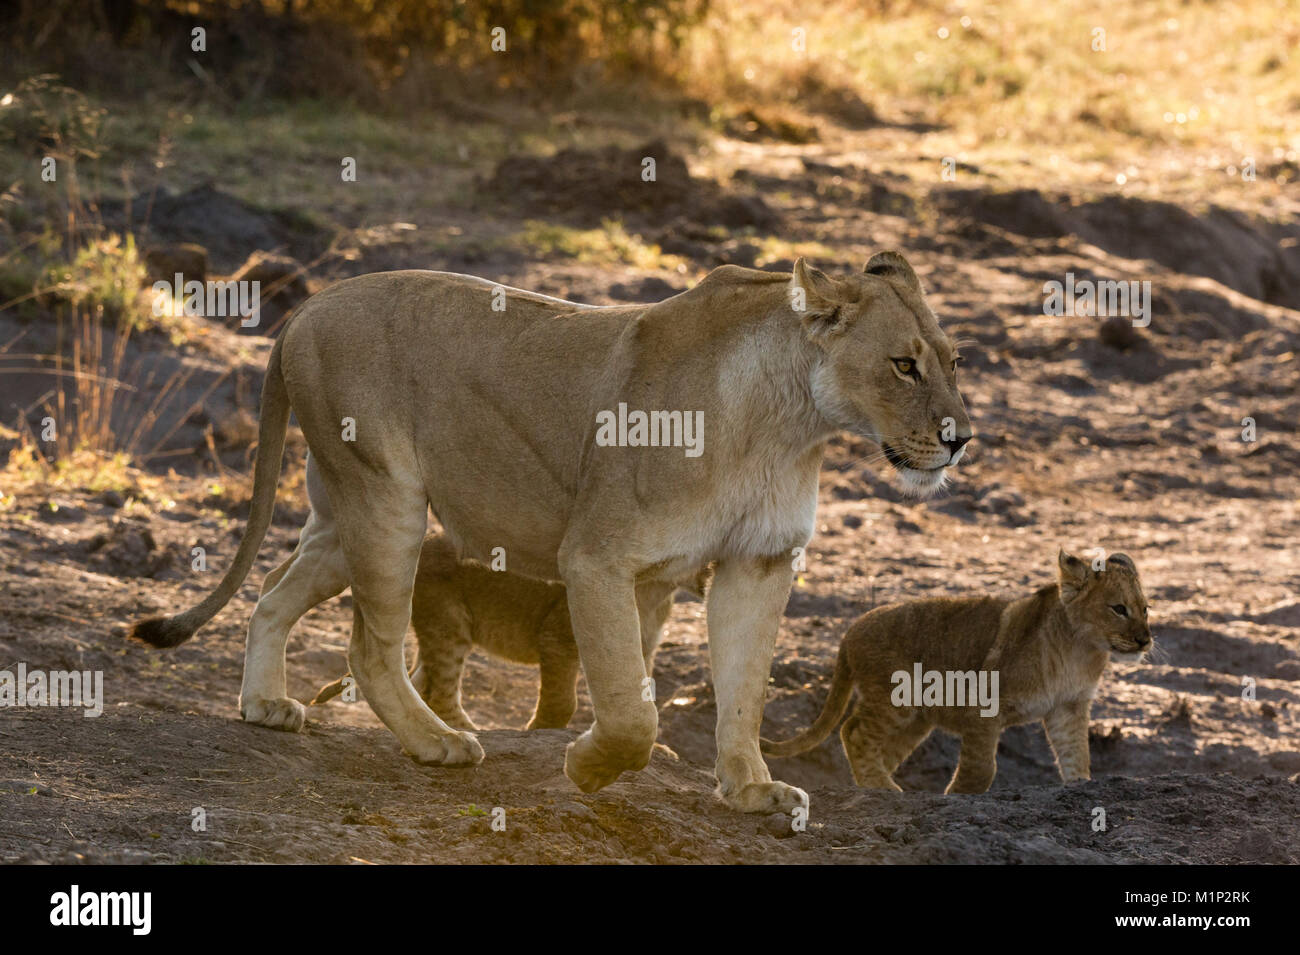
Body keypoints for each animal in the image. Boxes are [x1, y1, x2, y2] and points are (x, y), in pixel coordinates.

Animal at [310, 533, 711, 730]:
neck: (657, 590)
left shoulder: (644, 649)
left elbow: (641, 699)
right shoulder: (557, 638)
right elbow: (562, 700)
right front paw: (539, 729)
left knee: (423, 682)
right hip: (450, 626)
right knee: (441, 692)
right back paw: (470, 734)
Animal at [762, 550, 1152, 794]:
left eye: (1145, 609)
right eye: (1118, 609)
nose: (1145, 640)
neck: (1080, 650)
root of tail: (850, 630)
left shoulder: (1068, 708)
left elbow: (1076, 755)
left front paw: (1079, 787)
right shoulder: (986, 702)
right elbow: (982, 766)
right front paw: (958, 794)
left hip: (916, 719)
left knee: (876, 747)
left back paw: (877, 786)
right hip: (895, 699)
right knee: (853, 731)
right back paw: (886, 788)